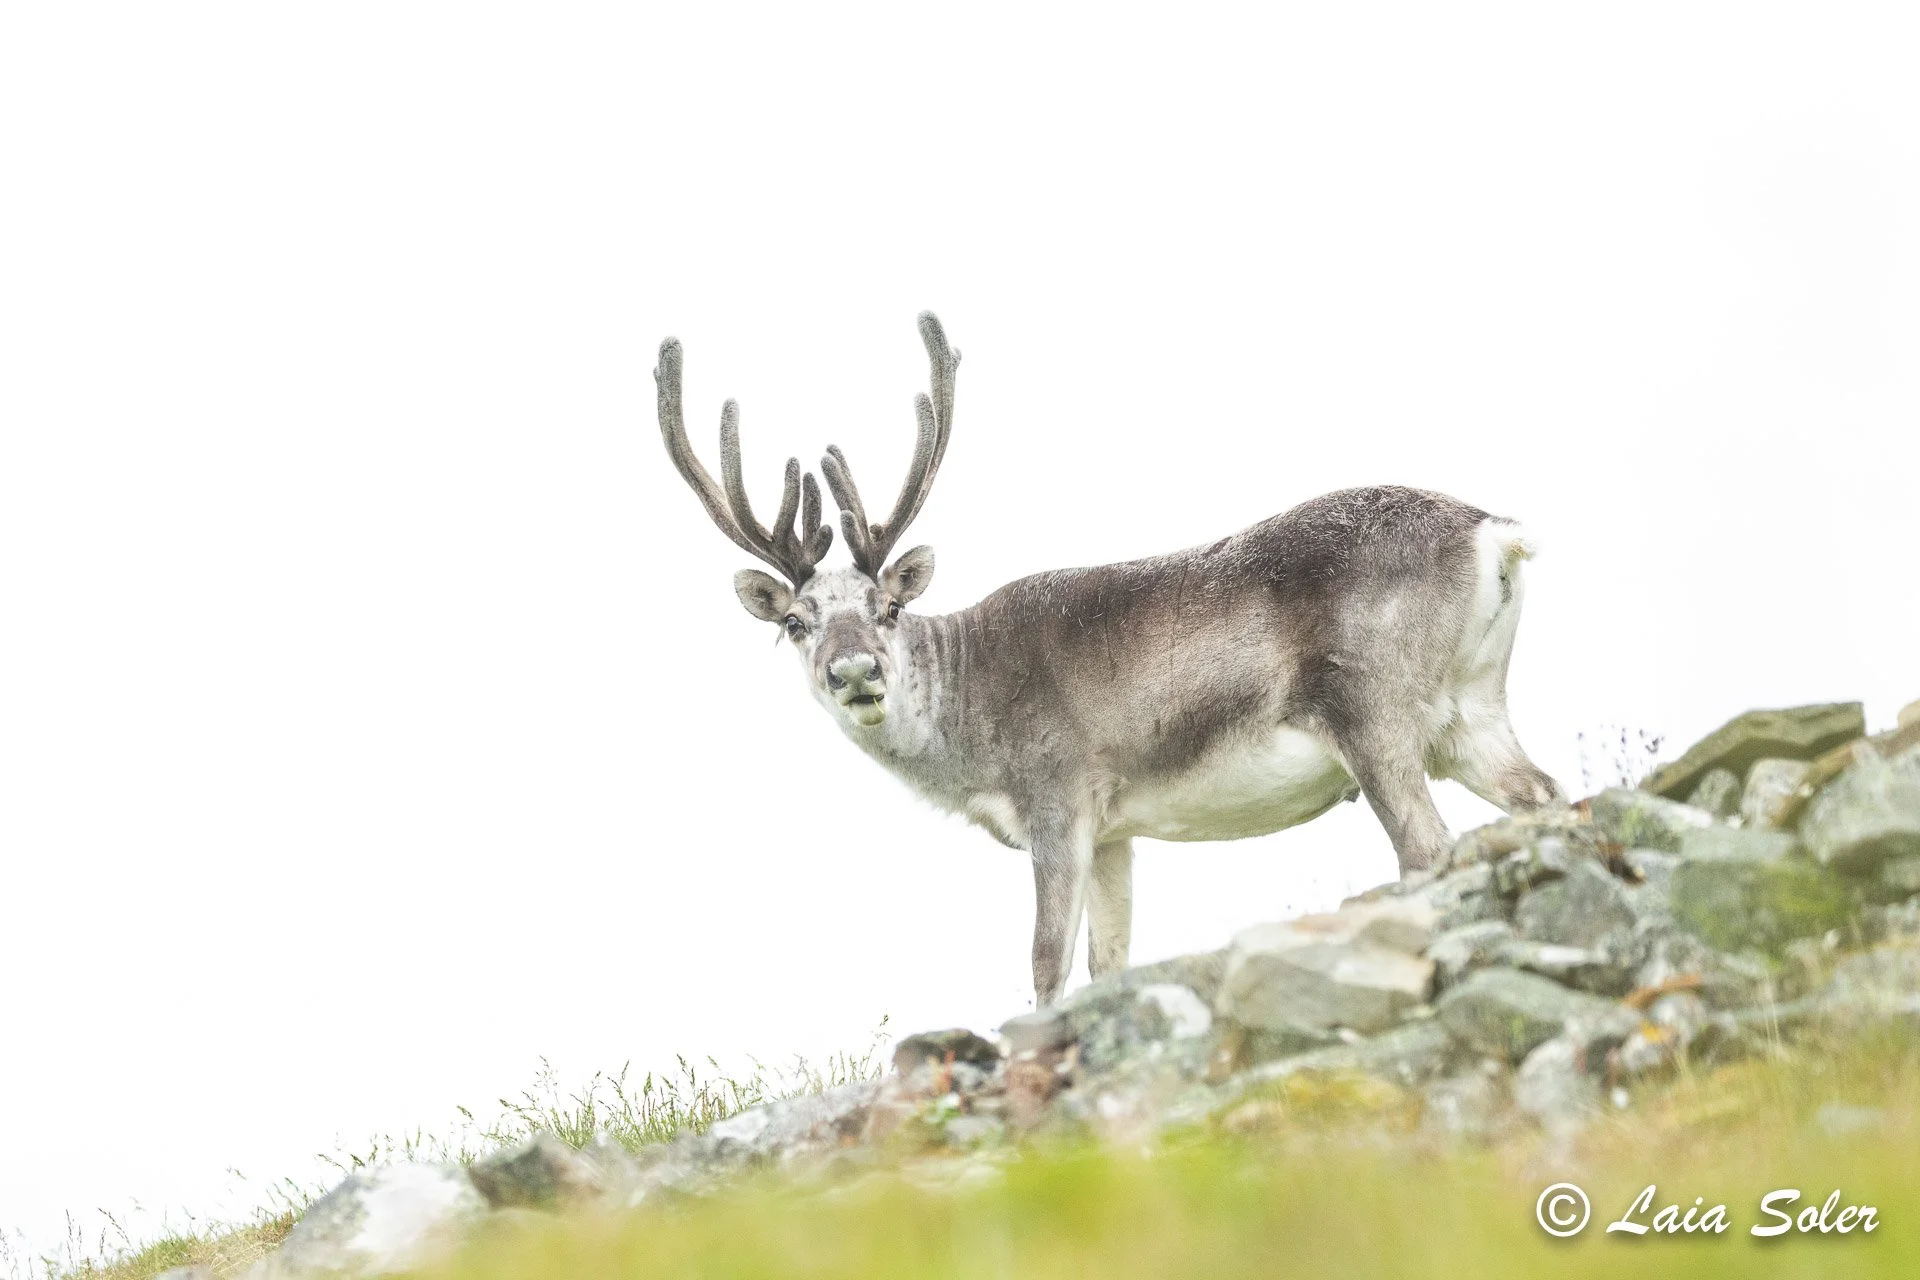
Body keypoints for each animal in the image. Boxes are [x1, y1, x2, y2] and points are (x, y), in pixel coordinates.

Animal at [655, 313, 1563, 1006]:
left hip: (1375, 716)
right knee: (1541, 796)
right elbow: (1110, 962)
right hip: (1471, 712)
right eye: (796, 622)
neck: (968, 727)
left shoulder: (1058, 804)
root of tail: (1494, 532)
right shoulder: (1119, 831)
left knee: (1427, 846)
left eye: (890, 609)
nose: (854, 673)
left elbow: (1046, 963)